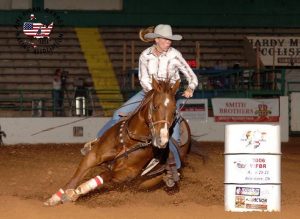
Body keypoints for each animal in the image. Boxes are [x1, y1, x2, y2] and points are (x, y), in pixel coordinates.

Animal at [44, 79, 192, 206]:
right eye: (155, 107)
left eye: (173, 112)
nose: (162, 140)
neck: (129, 140)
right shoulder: (93, 155)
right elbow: (76, 177)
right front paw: (55, 198)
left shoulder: (127, 173)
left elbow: (104, 176)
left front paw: (76, 192)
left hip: (148, 180)